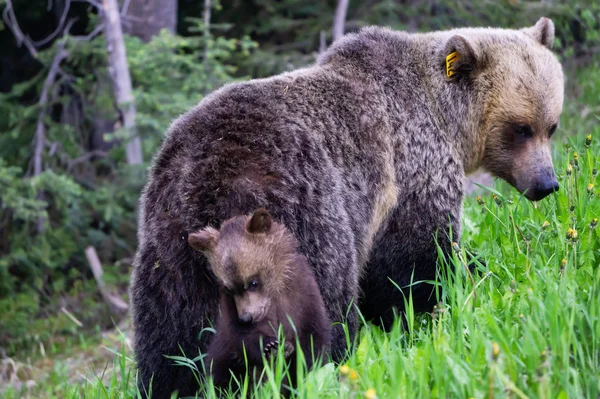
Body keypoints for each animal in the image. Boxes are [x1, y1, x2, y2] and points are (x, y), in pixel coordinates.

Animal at [189, 209, 330, 394]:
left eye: (253, 282)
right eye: (229, 288)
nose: (246, 317)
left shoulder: (304, 296)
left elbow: (313, 341)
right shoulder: (231, 310)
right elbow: (242, 338)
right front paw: (271, 346)